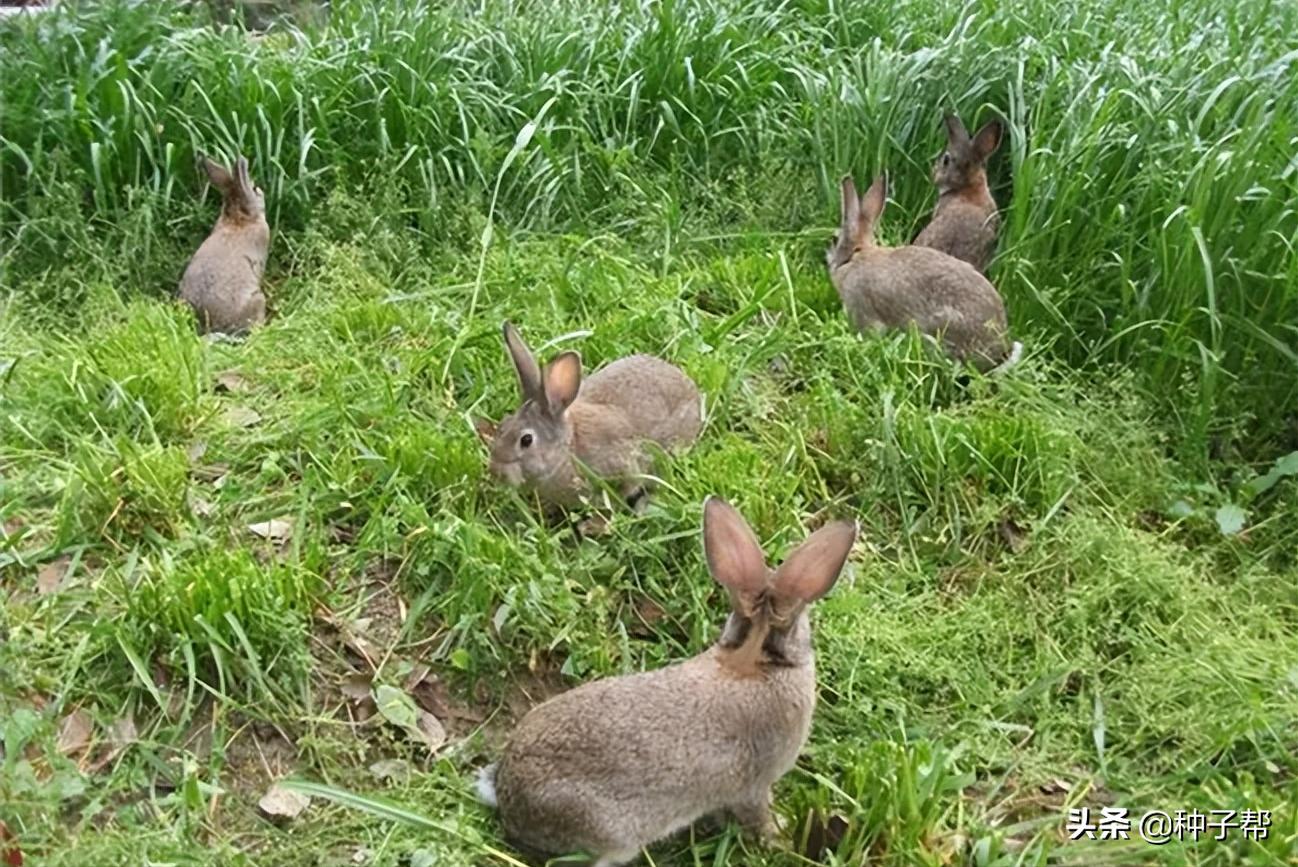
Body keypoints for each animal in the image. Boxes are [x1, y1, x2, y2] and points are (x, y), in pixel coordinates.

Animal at [475, 321, 700, 508]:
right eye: (503, 426)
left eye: (526, 440)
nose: (496, 472)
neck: (567, 449)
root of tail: (692, 390)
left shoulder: (624, 465)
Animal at [480, 498, 861, 861]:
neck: (754, 658)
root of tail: (509, 795)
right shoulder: (755, 784)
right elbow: (757, 816)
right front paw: (779, 837)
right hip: (611, 835)